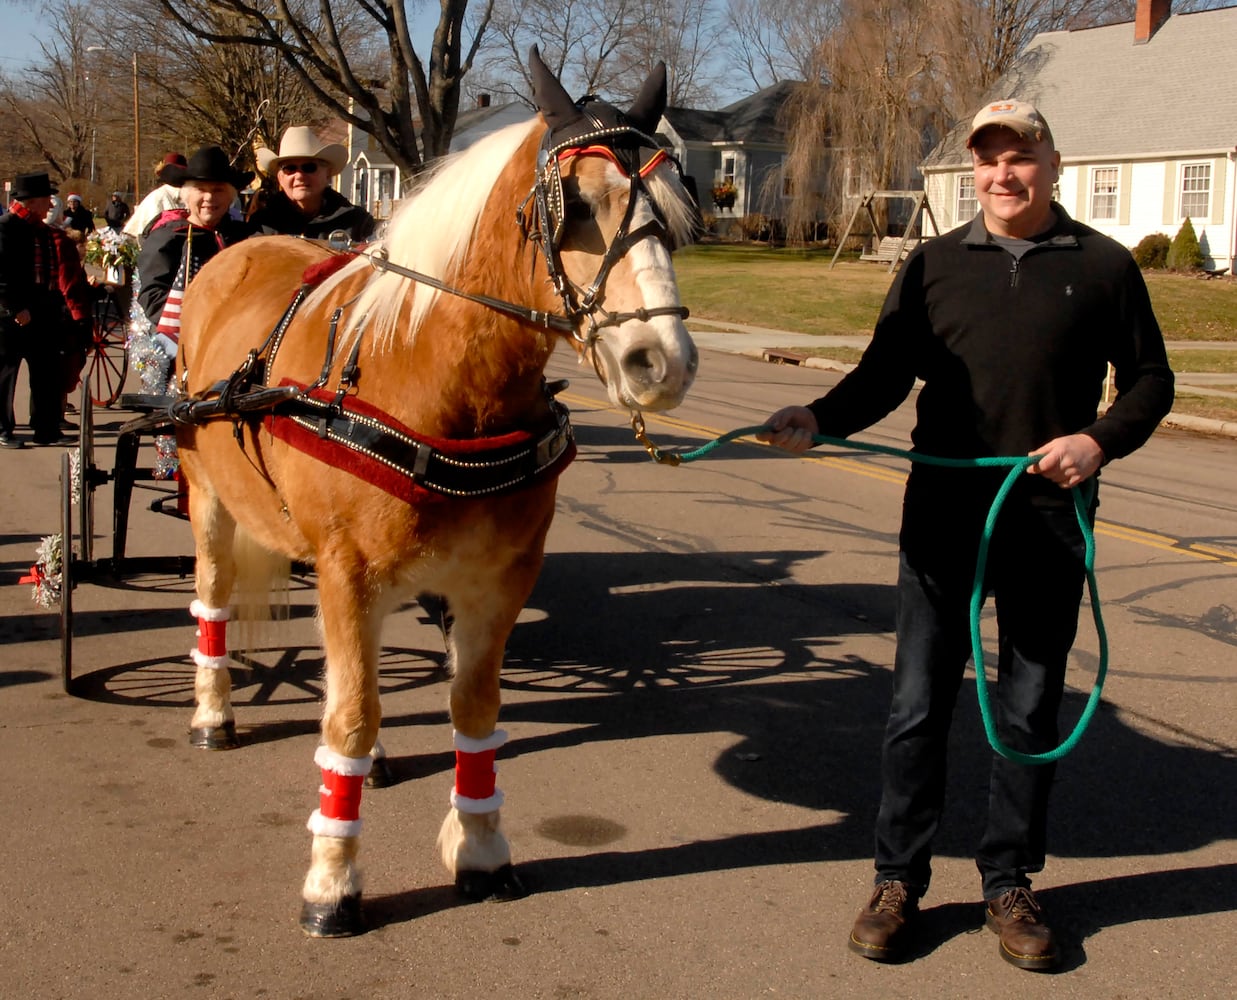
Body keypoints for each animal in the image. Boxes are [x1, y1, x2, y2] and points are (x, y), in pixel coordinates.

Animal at [170, 48, 702, 935]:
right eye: (575, 206)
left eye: (674, 207)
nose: (662, 362)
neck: (432, 379)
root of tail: (233, 250)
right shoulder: (350, 573)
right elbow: (350, 717)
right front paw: (332, 882)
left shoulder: (496, 582)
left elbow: (474, 712)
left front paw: (480, 850)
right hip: (206, 498)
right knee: (211, 603)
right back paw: (213, 713)